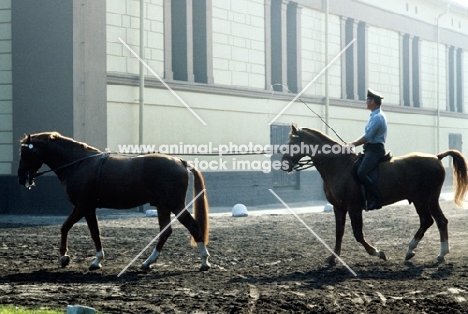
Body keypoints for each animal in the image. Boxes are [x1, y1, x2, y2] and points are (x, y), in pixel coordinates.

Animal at [17, 131, 209, 272]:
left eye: (25, 154)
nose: (20, 178)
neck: (78, 164)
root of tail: (180, 162)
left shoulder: (85, 206)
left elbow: (94, 232)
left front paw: (96, 260)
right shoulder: (81, 207)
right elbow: (65, 227)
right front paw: (64, 257)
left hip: (176, 205)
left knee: (193, 226)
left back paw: (204, 261)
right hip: (163, 206)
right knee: (165, 231)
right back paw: (148, 262)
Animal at [282, 124, 468, 264]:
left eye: (292, 143)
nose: (284, 163)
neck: (338, 165)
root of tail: (437, 157)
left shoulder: (354, 207)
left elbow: (358, 234)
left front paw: (378, 252)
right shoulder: (339, 207)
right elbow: (339, 232)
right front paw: (333, 258)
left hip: (420, 200)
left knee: (427, 221)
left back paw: (410, 249)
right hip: (431, 199)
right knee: (441, 221)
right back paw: (441, 253)